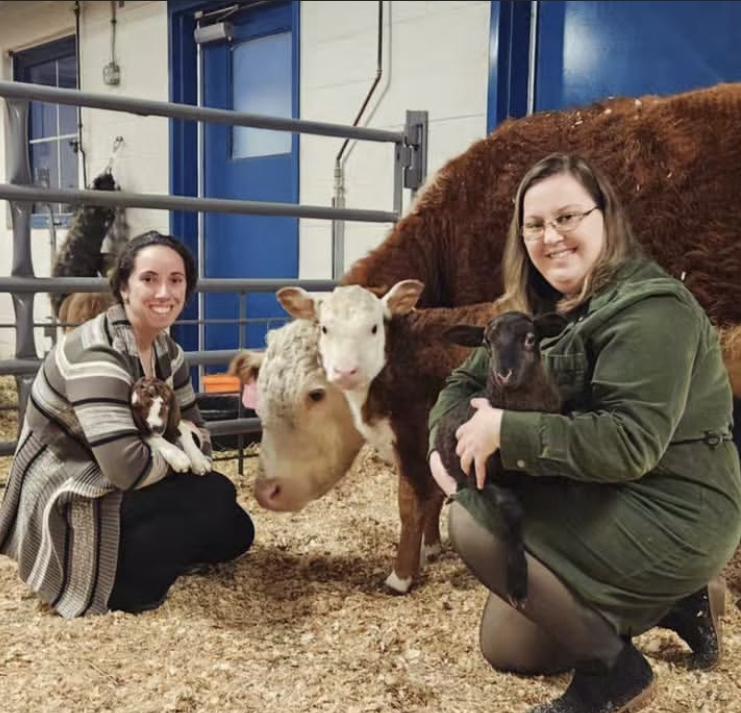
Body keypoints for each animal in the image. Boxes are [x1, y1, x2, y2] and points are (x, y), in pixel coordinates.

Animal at [274, 280, 506, 592]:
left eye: (374, 328)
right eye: (324, 328)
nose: (345, 371)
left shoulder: (413, 437)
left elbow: (411, 504)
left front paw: (401, 576)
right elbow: (433, 493)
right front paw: (431, 548)